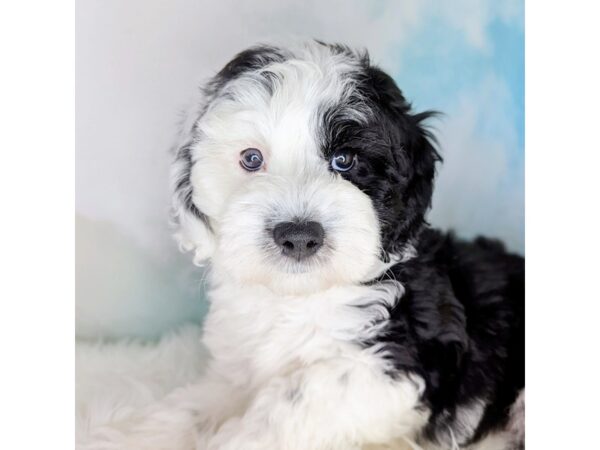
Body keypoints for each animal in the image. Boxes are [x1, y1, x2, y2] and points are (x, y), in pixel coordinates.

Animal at [86, 40, 524, 448]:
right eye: (251, 159)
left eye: (345, 161)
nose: (298, 236)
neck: (298, 296)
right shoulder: (237, 370)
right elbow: (194, 406)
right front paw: (127, 435)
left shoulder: (395, 366)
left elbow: (293, 399)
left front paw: (234, 440)